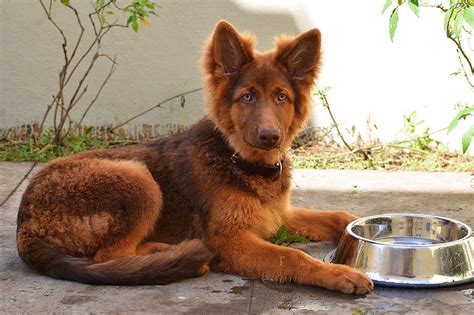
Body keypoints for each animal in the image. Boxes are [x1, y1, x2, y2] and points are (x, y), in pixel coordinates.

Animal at [15, 21, 374, 296]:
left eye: (281, 97)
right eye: (247, 97)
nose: (269, 136)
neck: (239, 160)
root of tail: (25, 222)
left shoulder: (275, 215)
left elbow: (338, 215)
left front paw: (357, 225)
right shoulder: (228, 239)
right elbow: (292, 257)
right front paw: (341, 274)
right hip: (137, 178)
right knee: (106, 257)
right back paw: (166, 255)